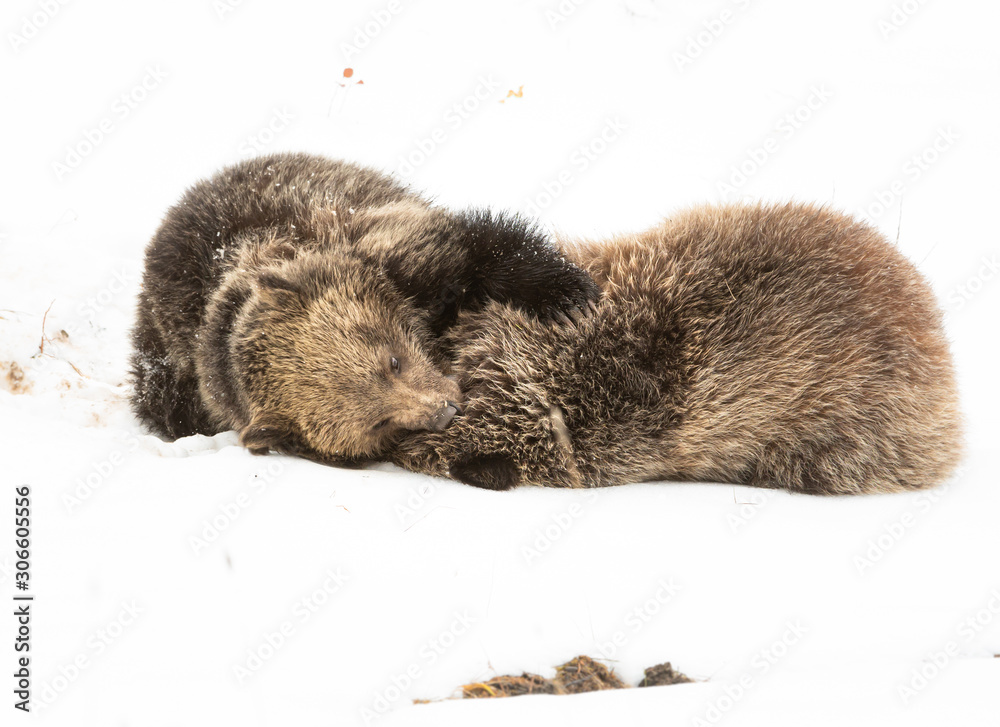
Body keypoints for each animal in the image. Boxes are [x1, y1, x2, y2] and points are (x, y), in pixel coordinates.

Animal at [130, 152, 599, 464]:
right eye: (379, 421)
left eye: (392, 360)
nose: (445, 410)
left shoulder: (398, 253)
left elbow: (485, 249)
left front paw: (568, 298)